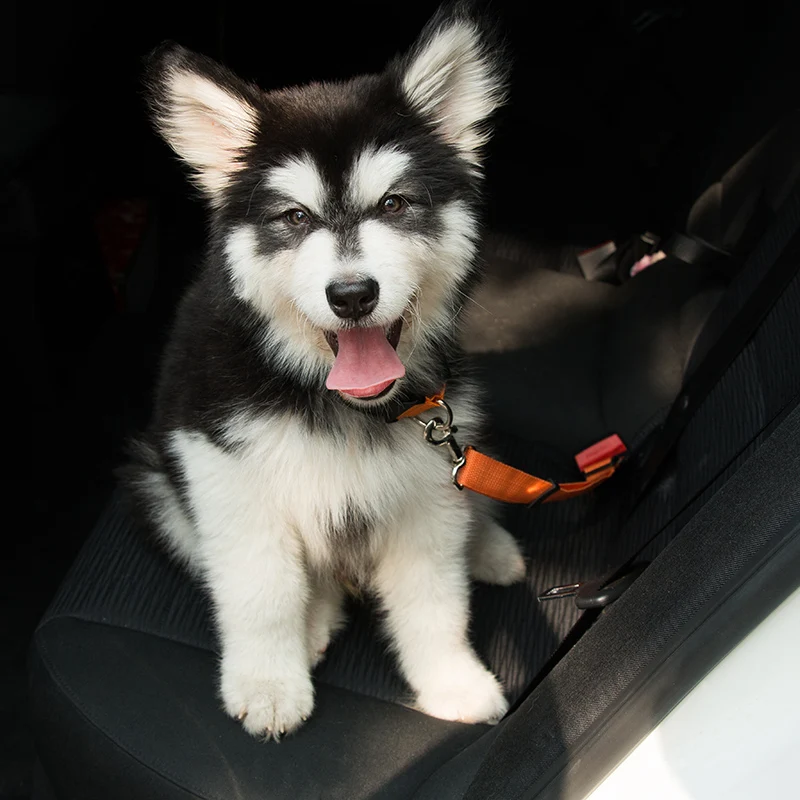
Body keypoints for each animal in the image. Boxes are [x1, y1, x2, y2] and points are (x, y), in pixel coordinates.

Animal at [126, 2, 526, 739]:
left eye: (394, 204)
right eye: (294, 217)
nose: (352, 295)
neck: (331, 396)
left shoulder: (425, 487)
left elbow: (435, 599)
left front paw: (454, 681)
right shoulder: (220, 473)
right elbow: (263, 592)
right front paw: (268, 684)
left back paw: (488, 548)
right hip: (155, 485)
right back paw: (316, 619)